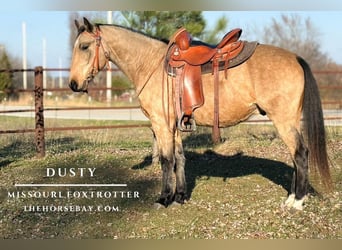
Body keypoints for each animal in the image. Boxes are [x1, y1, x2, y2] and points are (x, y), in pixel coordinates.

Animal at [67, 17, 332, 211]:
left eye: (84, 46)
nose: (73, 84)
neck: (151, 64)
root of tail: (295, 58)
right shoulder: (173, 126)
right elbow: (180, 158)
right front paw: (180, 196)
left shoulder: (161, 125)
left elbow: (166, 161)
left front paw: (164, 198)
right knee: (296, 157)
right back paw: (291, 197)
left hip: (284, 121)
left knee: (300, 154)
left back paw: (297, 201)